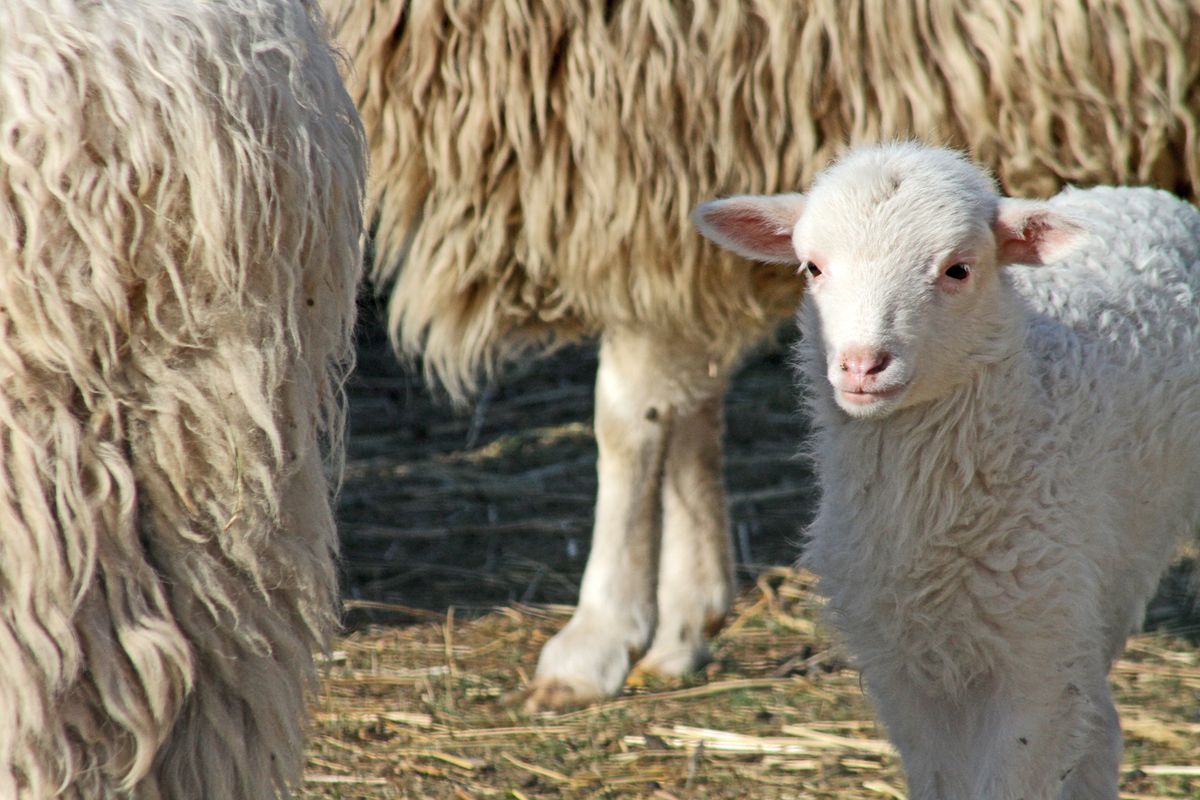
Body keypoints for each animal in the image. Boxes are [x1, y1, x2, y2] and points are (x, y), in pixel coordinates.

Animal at [321, 0, 1200, 714]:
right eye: (812, 266)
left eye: (956, 268)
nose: (863, 366)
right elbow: (686, 414)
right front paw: (685, 620)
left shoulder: (649, 178)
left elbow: (628, 421)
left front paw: (598, 637)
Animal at [691, 143, 1200, 800]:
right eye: (812, 268)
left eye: (958, 269)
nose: (862, 364)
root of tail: (1145, 195)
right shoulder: (903, 666)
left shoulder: (1035, 658)